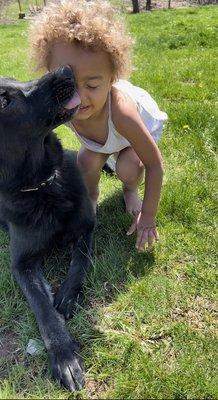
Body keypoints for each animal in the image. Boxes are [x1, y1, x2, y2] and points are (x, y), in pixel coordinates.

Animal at [0, 65, 95, 390]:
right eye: (3, 100)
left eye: (14, 79)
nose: (67, 69)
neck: (44, 182)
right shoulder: (22, 264)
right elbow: (43, 308)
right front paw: (64, 354)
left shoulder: (86, 228)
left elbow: (80, 261)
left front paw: (66, 294)